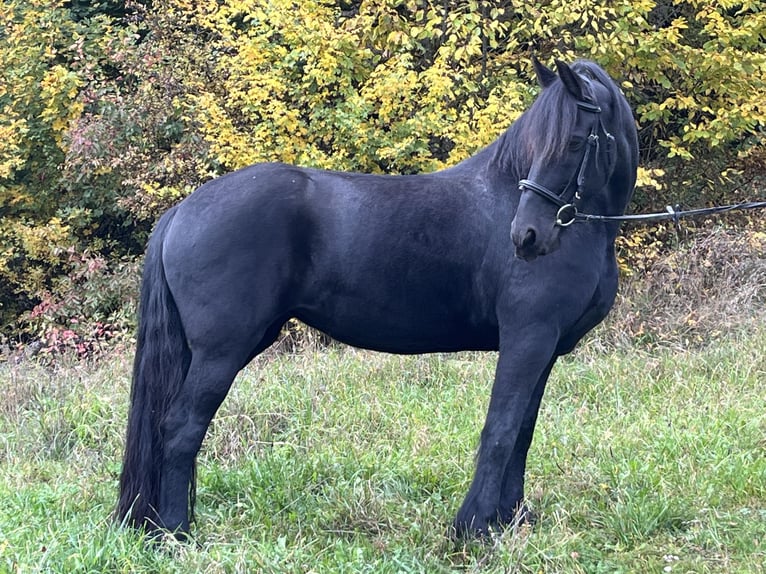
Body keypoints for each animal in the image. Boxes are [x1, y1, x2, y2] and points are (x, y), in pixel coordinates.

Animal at [116, 58, 638, 539]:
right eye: (546, 144)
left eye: (574, 143)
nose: (526, 237)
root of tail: (183, 209)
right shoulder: (527, 339)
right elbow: (500, 429)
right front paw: (471, 527)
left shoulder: (545, 348)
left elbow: (522, 434)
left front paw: (508, 520)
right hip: (220, 352)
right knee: (180, 428)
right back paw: (175, 533)